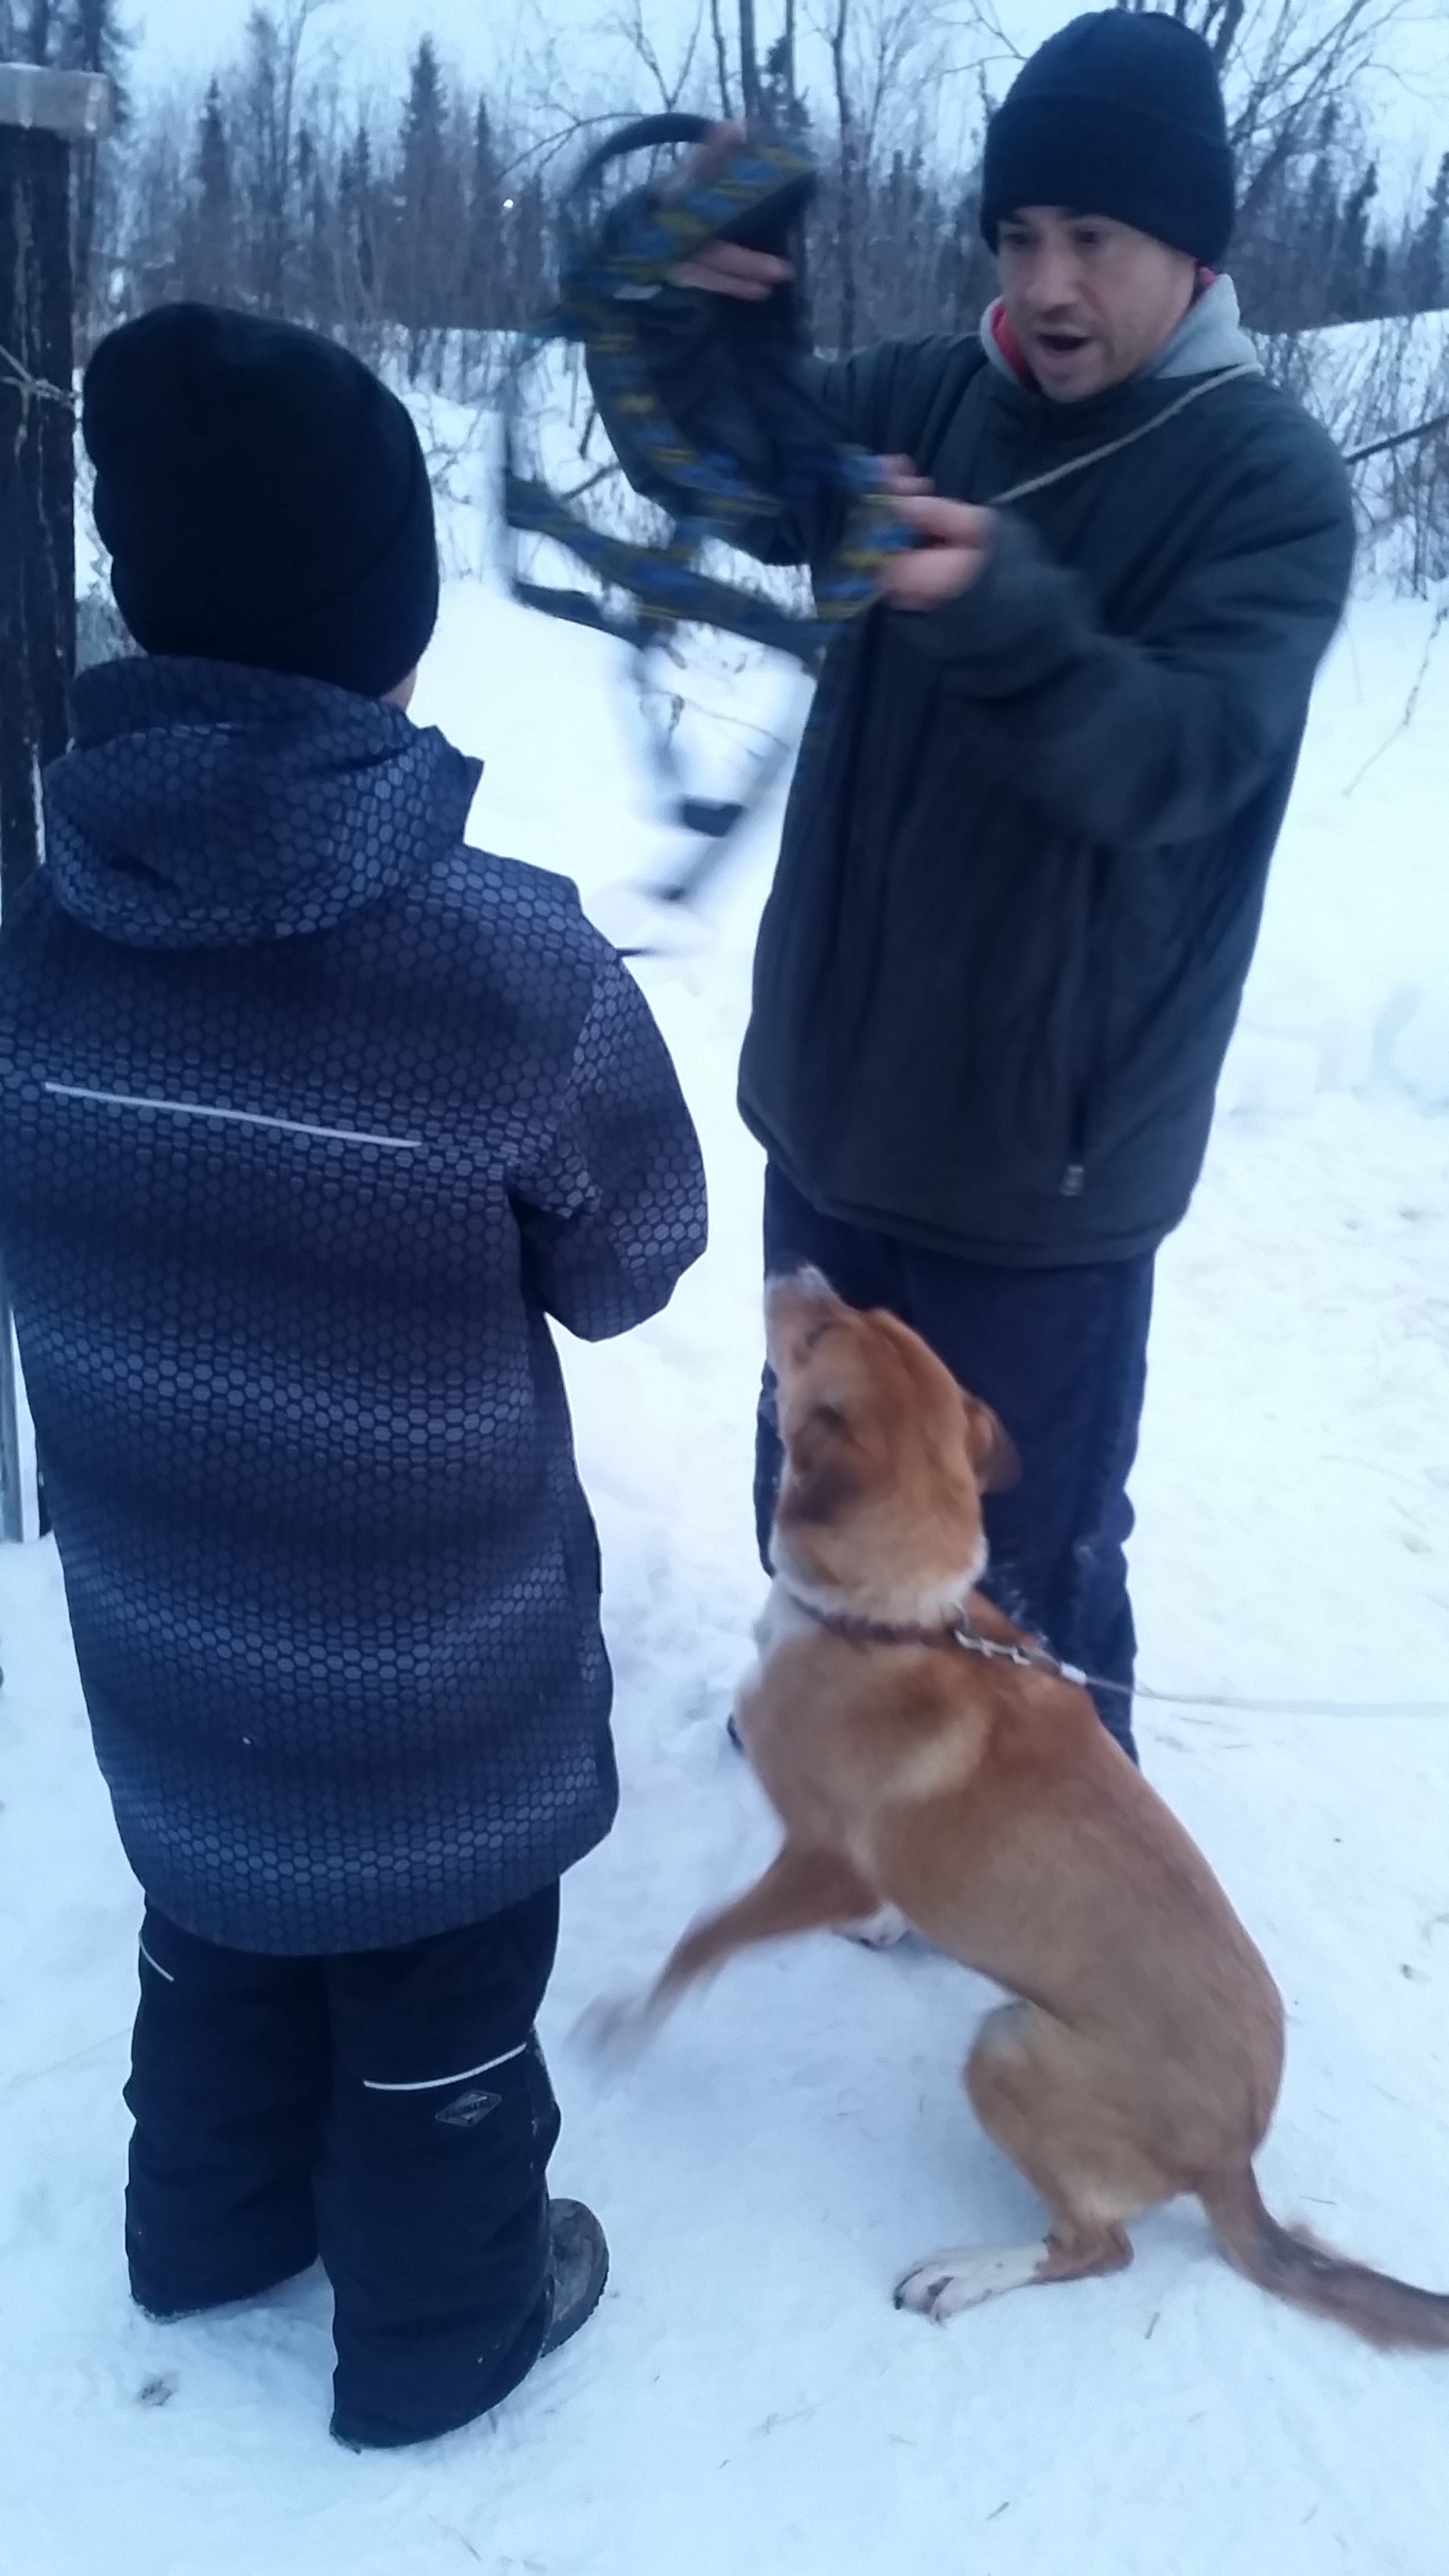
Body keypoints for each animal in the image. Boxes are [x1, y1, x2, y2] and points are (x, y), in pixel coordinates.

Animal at [619, 1277, 1443, 2349]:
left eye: (819, 1335)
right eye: (865, 1319)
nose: (797, 1274)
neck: (894, 1622)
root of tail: (1235, 2159)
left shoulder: (818, 1856)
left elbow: (703, 1938)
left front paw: (630, 2020)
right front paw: (882, 1925)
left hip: (1011, 2051)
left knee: (1100, 2246)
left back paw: (966, 2274)